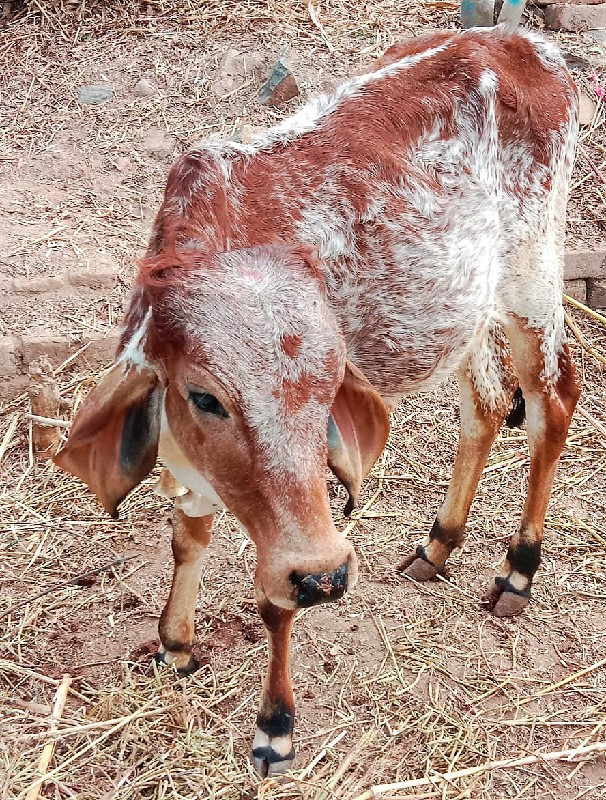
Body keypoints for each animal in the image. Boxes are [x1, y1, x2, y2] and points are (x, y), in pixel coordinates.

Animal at [54, 26, 580, 776]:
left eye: (330, 387)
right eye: (204, 397)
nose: (330, 575)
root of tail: (526, 44)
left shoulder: (302, 530)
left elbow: (276, 600)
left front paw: (275, 728)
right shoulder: (193, 467)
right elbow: (188, 539)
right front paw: (175, 646)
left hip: (532, 283)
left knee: (552, 404)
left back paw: (518, 571)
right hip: (467, 312)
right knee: (483, 404)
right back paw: (438, 545)